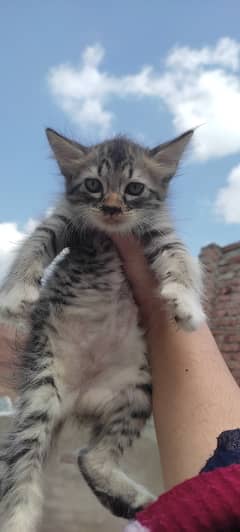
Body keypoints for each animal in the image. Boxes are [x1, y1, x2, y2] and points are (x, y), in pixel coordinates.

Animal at [0, 129, 204, 532]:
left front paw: (187, 304)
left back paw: (137, 501)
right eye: (94, 185)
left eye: (134, 188)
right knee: (25, 465)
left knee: (90, 456)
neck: (110, 236)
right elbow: (34, 244)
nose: (111, 208)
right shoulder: (62, 220)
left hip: (138, 394)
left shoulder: (159, 231)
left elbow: (179, 257)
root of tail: (79, 397)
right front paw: (16, 293)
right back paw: (18, 519)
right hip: (40, 392)